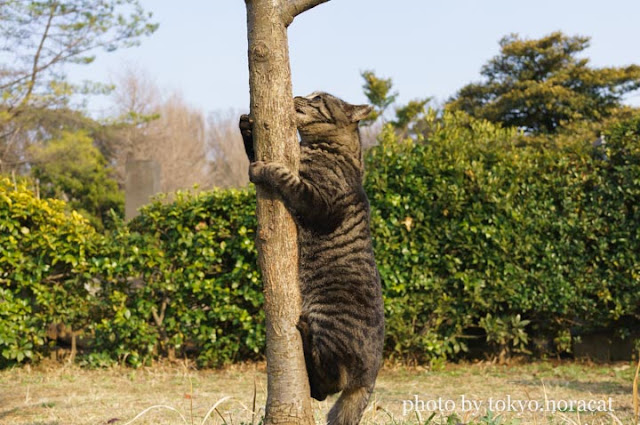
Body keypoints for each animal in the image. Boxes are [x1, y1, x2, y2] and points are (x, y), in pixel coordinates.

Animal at [238, 92, 382, 424]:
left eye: (318, 98)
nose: (298, 96)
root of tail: (372, 372)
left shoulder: (318, 203)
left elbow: (283, 176)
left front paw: (264, 169)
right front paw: (246, 127)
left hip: (328, 326)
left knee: (330, 380)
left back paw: (304, 334)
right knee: (319, 392)